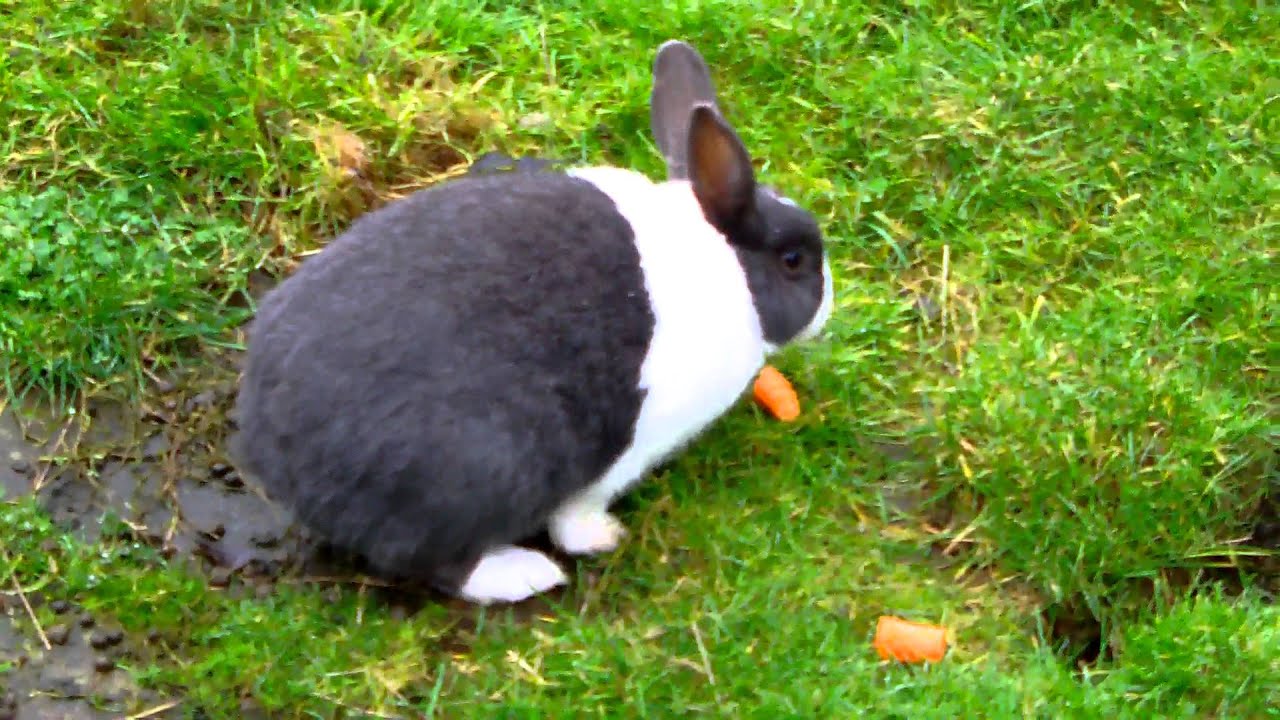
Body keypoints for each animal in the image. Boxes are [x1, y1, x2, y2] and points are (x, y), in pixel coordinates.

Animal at [229, 40, 835, 605]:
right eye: (793, 260)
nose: (828, 306)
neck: (724, 260)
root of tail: (275, 452)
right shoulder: (626, 452)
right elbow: (575, 516)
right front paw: (603, 536)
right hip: (481, 469)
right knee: (438, 563)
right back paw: (525, 573)